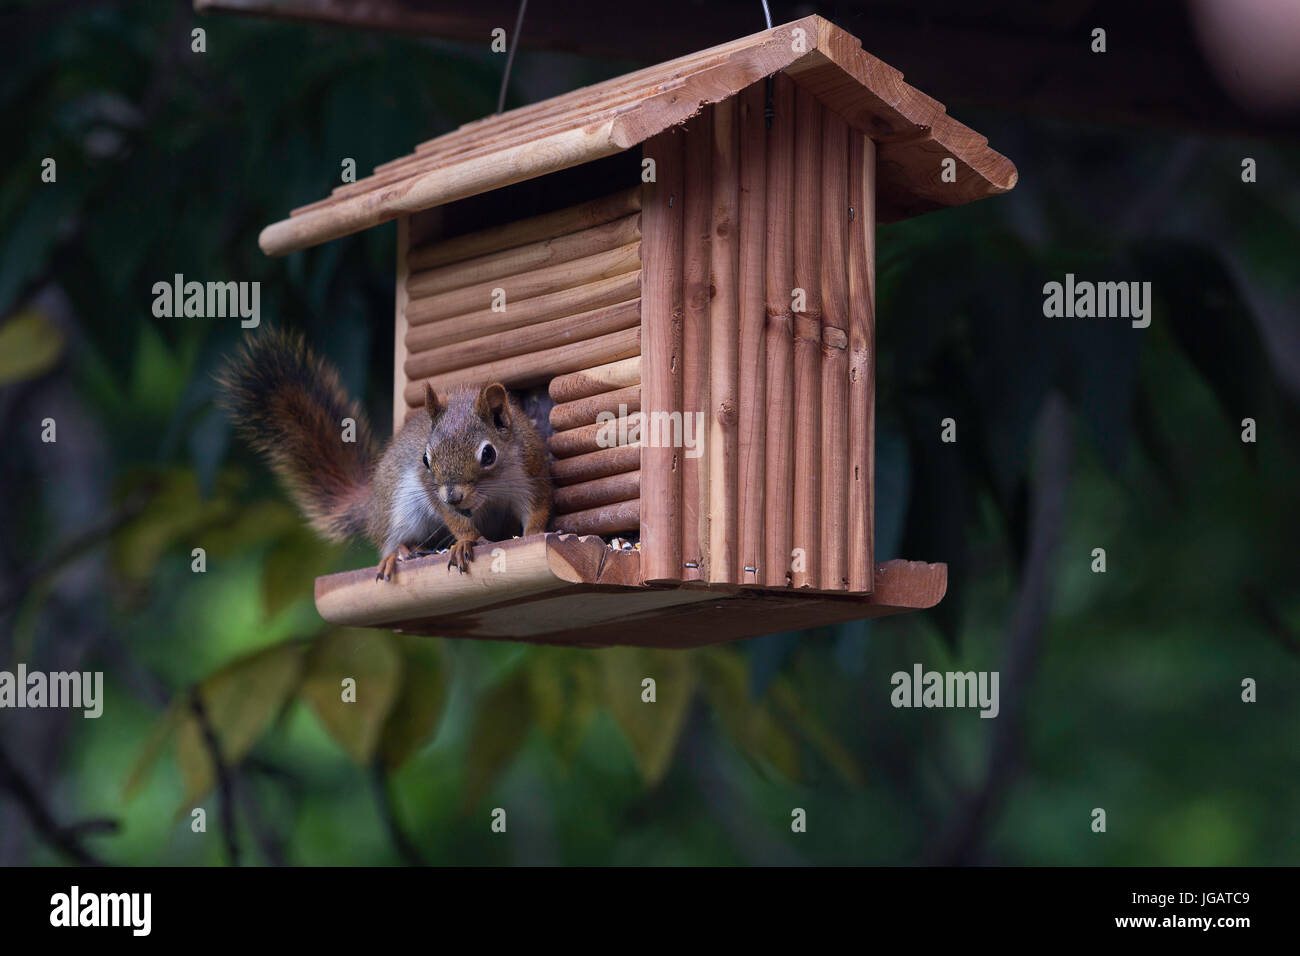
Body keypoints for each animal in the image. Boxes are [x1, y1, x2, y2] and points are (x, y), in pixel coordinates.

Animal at [216, 328, 552, 582]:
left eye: (488, 454)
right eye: (425, 460)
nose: (453, 496)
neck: (491, 490)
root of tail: (372, 503)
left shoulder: (531, 470)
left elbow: (536, 509)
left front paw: (535, 533)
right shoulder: (434, 493)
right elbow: (457, 523)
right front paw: (465, 541)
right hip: (397, 509)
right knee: (392, 540)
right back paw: (397, 555)